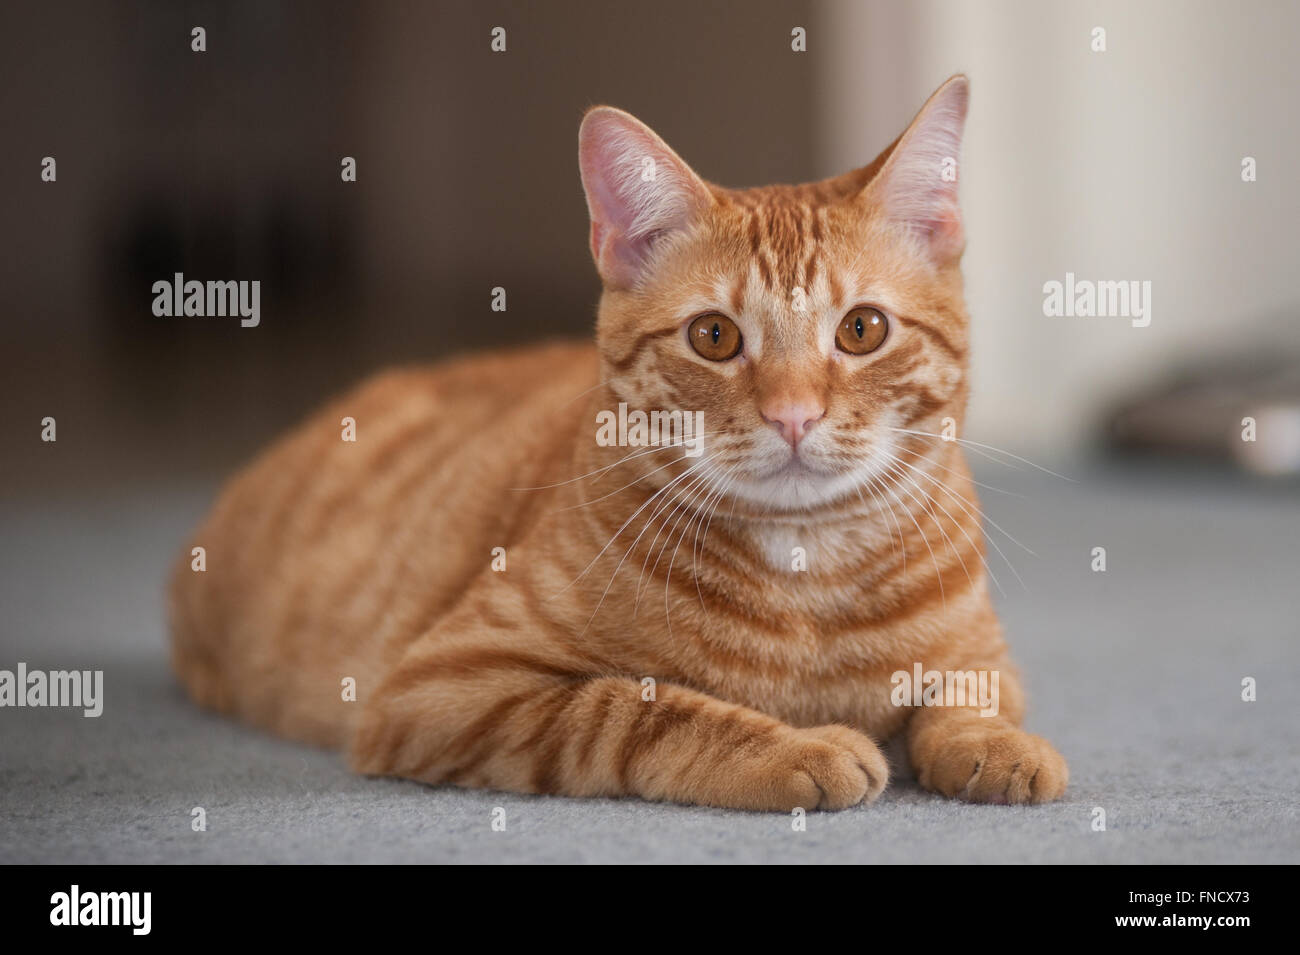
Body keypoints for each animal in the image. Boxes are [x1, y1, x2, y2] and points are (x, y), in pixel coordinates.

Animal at [170, 76, 1066, 805]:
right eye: (714, 336)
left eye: (862, 329)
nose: (793, 415)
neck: (805, 569)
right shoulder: (445, 685)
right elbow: (638, 706)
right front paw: (794, 748)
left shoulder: (985, 653)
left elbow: (966, 698)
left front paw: (998, 745)